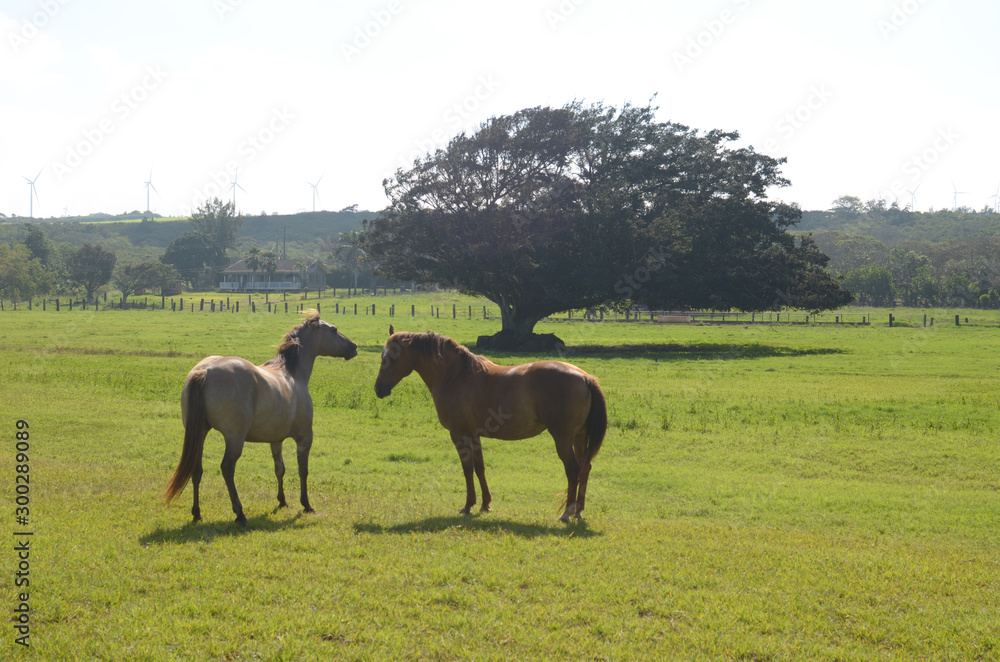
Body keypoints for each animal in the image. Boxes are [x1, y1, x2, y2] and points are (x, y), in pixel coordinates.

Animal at [164, 311, 357, 526]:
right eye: (334, 330)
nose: (354, 347)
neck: (292, 374)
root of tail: (205, 370)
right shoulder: (305, 436)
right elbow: (303, 470)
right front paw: (306, 505)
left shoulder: (276, 440)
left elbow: (280, 469)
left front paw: (282, 501)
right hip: (234, 438)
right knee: (227, 468)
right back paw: (240, 513)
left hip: (200, 433)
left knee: (197, 470)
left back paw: (197, 513)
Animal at [374, 326, 607, 522]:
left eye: (392, 357)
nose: (379, 389)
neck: (456, 375)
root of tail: (584, 377)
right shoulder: (474, 434)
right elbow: (480, 467)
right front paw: (485, 504)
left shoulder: (459, 434)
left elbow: (467, 468)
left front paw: (468, 505)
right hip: (579, 437)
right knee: (585, 467)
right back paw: (579, 511)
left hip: (563, 438)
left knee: (573, 470)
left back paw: (567, 513)